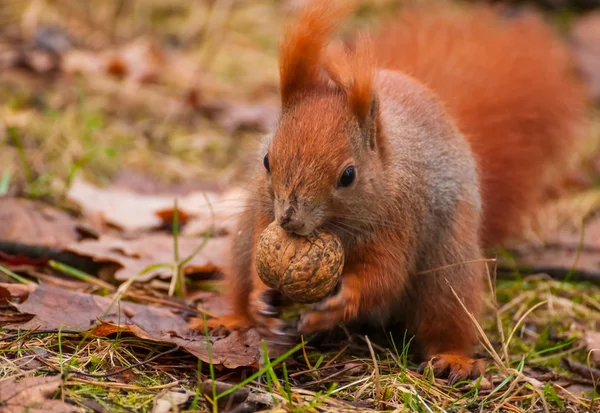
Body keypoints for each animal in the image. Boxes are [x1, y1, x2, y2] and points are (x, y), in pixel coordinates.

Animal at [191, 0, 584, 384]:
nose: (290, 220)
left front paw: (340, 303)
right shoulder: (263, 207)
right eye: (267, 160)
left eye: (348, 175)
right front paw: (262, 294)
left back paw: (454, 359)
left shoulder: (399, 220)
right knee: (241, 273)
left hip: (448, 266)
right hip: (242, 240)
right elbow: (262, 243)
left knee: (446, 315)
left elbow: (385, 275)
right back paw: (231, 319)